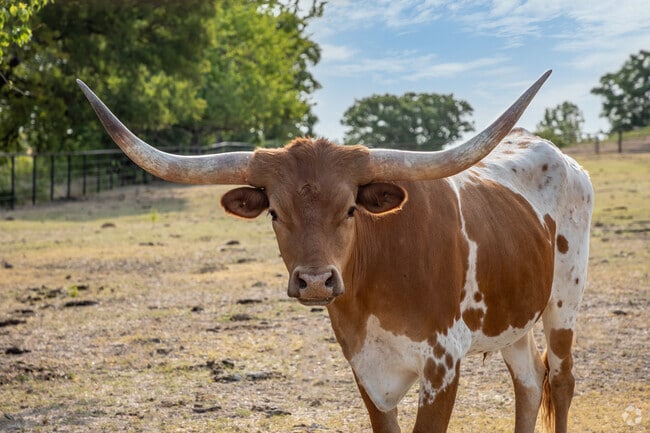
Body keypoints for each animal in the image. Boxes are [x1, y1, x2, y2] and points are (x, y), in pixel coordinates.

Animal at [77, 70, 593, 433]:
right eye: (274, 212)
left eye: (349, 210)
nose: (314, 281)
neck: (379, 282)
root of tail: (553, 151)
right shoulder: (365, 369)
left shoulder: (443, 364)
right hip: (513, 315)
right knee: (529, 382)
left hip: (564, 300)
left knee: (560, 380)